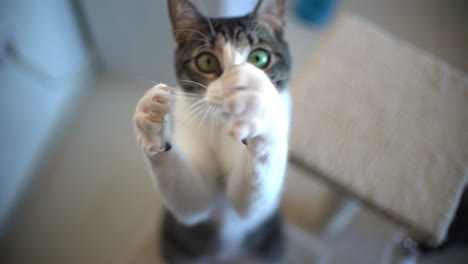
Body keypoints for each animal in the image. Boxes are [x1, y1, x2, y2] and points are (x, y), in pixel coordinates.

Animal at [133, 0, 290, 262]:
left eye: (259, 58)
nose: (234, 86)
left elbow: (252, 204)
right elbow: (193, 202)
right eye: (206, 61)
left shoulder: (259, 212)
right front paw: (151, 121)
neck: (223, 130)